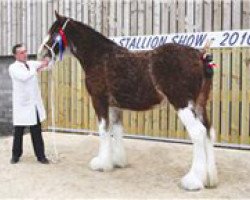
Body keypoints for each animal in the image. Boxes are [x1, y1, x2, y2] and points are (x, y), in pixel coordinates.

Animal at [38, 11, 218, 191]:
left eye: (54, 32)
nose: (42, 54)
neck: (100, 57)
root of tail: (200, 57)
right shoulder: (114, 106)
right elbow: (117, 130)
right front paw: (117, 161)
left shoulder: (99, 101)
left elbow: (103, 130)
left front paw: (101, 164)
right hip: (200, 105)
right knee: (208, 132)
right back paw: (209, 179)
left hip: (183, 104)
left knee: (198, 132)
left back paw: (192, 180)